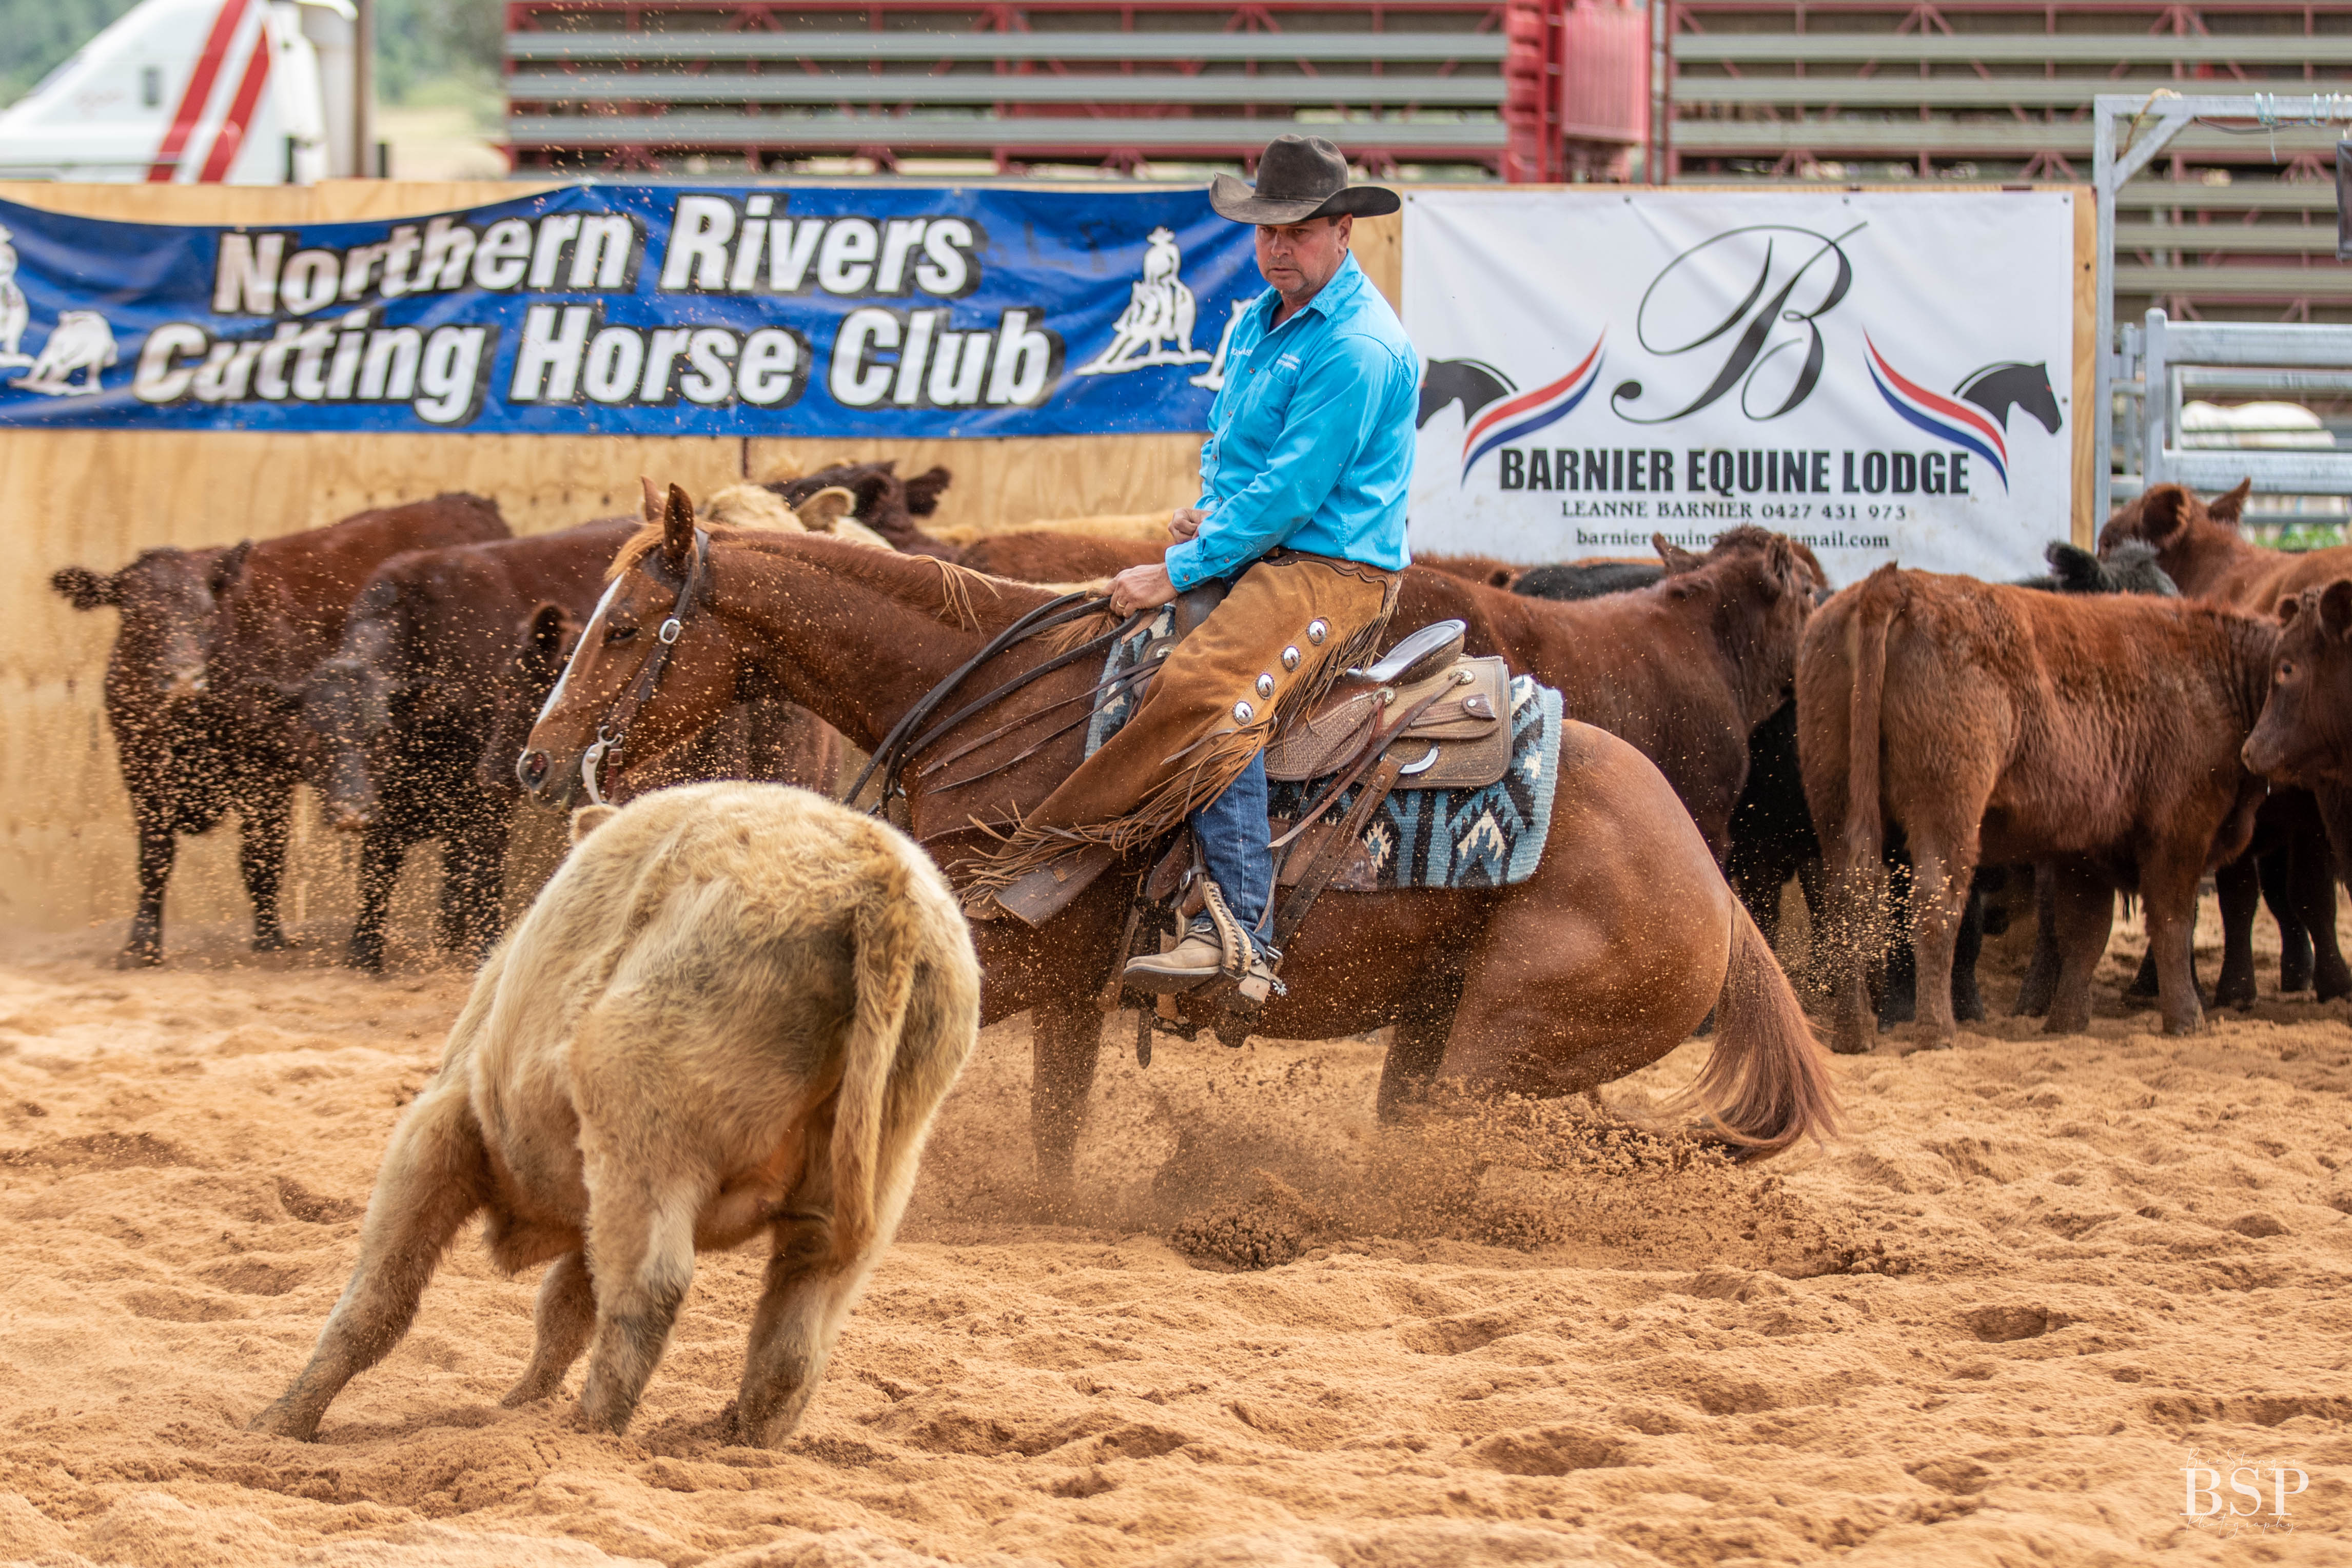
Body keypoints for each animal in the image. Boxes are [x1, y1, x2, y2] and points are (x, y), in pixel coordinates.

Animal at [52, 495, 509, 966]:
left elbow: (261, 858)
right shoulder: (142, 768)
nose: (183, 678)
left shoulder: (265, 773)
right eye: (138, 616)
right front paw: (141, 947)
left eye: (205, 615)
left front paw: (269, 939)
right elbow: (154, 859)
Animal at [248, 782, 979, 1448]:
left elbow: (379, 1298)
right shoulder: (590, 1202)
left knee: (651, 1288)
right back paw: (730, 1441)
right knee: (796, 1332)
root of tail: (874, 880)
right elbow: (566, 1307)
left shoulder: (440, 1125)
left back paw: (588, 1435)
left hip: (646, 1133)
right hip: (862, 1184)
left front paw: (280, 1421)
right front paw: (516, 1405)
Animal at [517, 485, 1838, 1185]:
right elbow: (1049, 1126)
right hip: (1437, 1034)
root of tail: (1712, 888)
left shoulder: (1023, 956)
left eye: (625, 628)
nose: (538, 758)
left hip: (1500, 1046)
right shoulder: (1064, 990)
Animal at [1799, 568, 2276, 1052]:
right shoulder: (2179, 831)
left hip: (1834, 795)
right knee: (1936, 902)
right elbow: (2172, 924)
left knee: (1844, 898)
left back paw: (1854, 1032)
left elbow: (2085, 930)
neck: (2215, 672)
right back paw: (1938, 1031)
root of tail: (1894, 583)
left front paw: (2067, 1021)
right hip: (1946, 808)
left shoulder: (2086, 848)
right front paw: (2186, 1019)